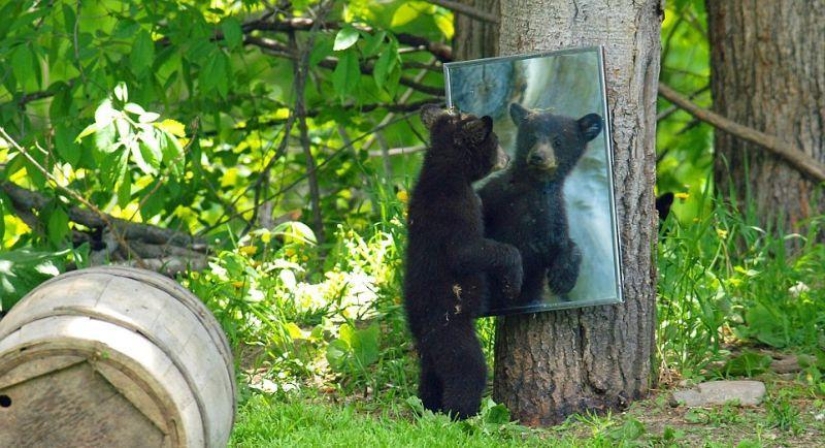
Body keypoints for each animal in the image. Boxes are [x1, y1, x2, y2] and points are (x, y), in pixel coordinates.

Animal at [402, 104, 523, 419]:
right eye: (496, 141)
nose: (508, 158)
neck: (447, 168)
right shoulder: (456, 207)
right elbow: (467, 251)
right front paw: (513, 278)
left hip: (429, 349)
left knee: (431, 377)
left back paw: (429, 409)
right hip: (451, 331)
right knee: (467, 370)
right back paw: (464, 414)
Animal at [478, 103, 603, 312]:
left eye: (558, 141)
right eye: (532, 136)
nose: (538, 156)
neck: (536, 187)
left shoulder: (553, 216)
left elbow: (563, 244)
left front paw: (562, 278)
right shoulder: (494, 198)